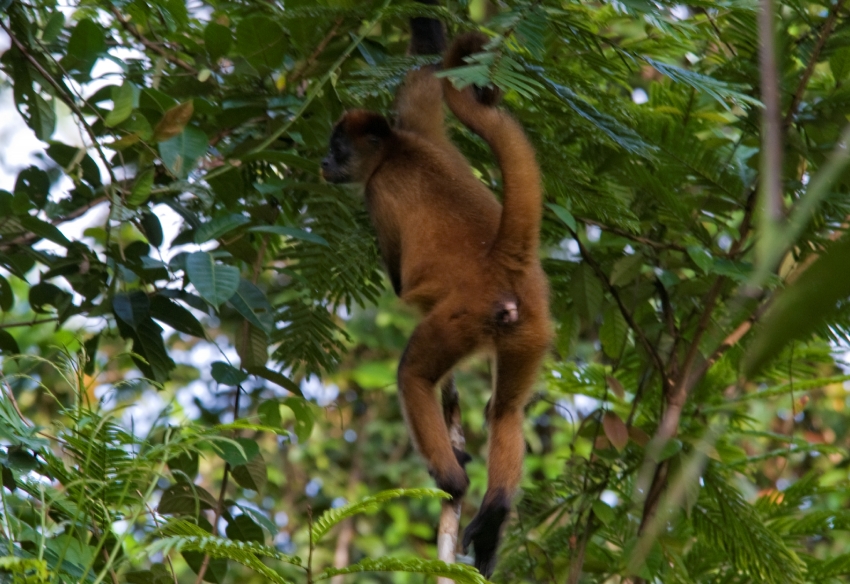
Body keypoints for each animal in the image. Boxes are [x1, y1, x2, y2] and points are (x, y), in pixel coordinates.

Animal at [320, 2, 548, 576]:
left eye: (337, 148)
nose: (324, 163)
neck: (397, 150)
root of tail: (501, 261)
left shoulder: (378, 190)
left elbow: (400, 278)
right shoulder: (418, 122)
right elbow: (426, 67)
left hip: (465, 314)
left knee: (413, 374)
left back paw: (454, 480)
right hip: (532, 326)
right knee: (504, 412)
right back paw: (493, 514)